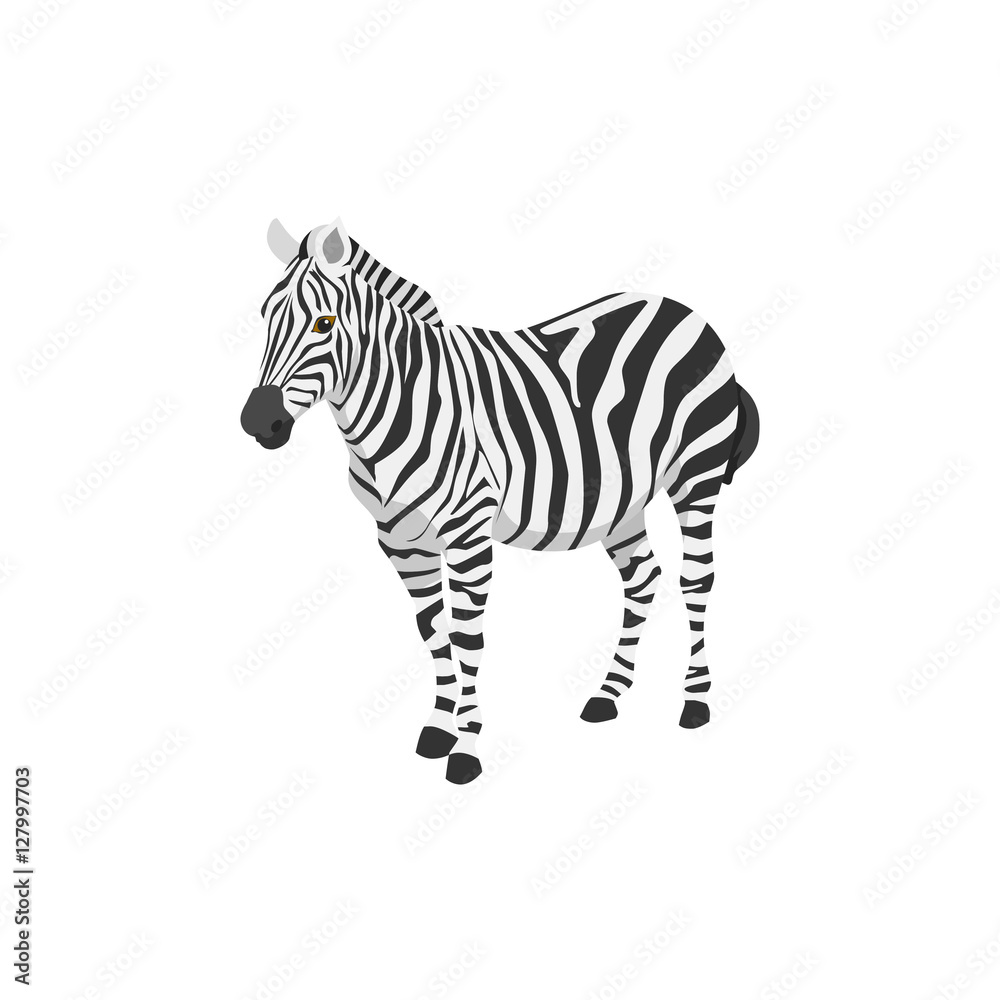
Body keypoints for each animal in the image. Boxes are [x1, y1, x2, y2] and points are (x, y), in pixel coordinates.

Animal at [240, 217, 760, 784]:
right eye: (263, 317)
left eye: (323, 324)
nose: (257, 421)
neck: (402, 405)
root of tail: (683, 309)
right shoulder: (401, 541)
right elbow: (433, 631)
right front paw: (440, 729)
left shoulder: (468, 533)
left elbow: (467, 637)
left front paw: (466, 751)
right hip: (621, 499)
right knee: (643, 580)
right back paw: (609, 695)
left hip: (697, 474)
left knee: (697, 580)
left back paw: (695, 701)